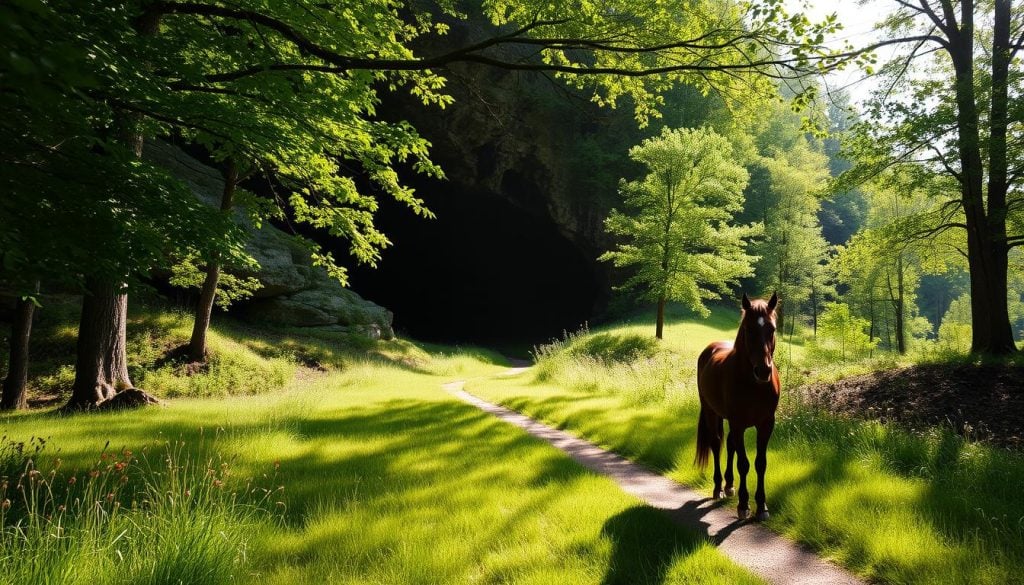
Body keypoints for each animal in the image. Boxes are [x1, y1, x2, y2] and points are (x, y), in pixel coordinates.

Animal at [700, 293, 778, 522]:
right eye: (748, 329)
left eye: (772, 329)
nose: (763, 371)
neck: (753, 384)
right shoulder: (738, 423)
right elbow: (743, 464)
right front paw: (744, 505)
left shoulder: (766, 424)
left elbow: (761, 463)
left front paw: (762, 506)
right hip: (711, 412)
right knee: (716, 443)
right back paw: (718, 488)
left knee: (730, 444)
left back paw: (729, 486)